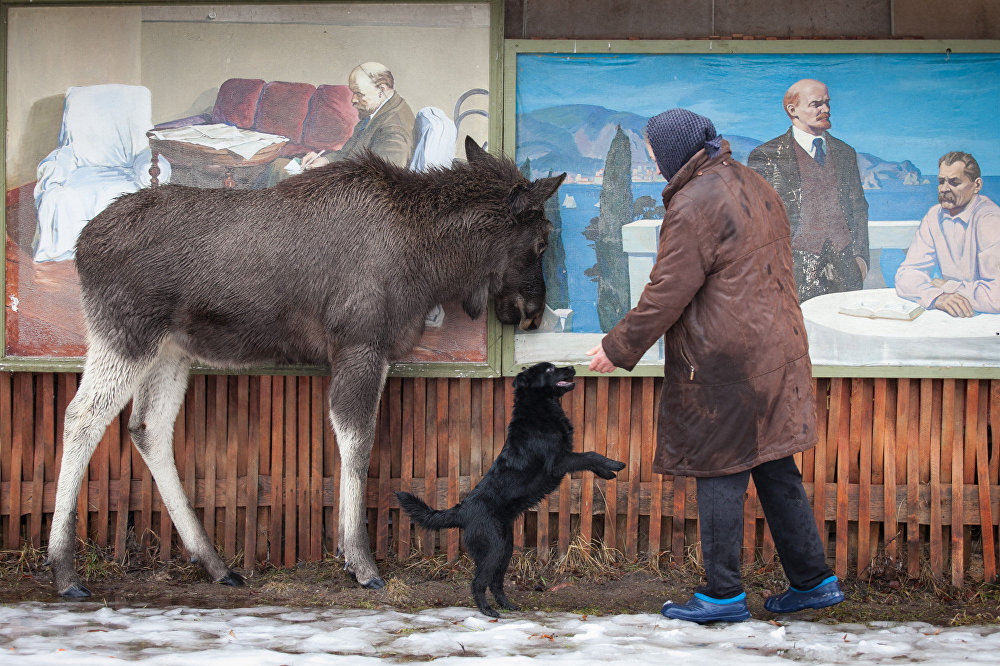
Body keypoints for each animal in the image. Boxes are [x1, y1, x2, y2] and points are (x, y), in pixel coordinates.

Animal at [47, 137, 568, 592]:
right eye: (542, 241)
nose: (532, 311)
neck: (430, 261)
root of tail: (81, 245)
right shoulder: (360, 343)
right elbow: (357, 442)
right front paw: (360, 562)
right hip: (125, 332)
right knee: (82, 416)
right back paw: (64, 570)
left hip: (172, 349)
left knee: (147, 427)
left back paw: (215, 563)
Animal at [396, 360, 624, 616]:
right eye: (549, 370)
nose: (573, 367)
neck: (538, 409)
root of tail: (462, 510)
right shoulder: (559, 461)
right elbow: (590, 454)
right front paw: (614, 465)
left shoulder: (565, 457)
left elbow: (589, 459)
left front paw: (607, 473)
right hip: (494, 549)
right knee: (478, 582)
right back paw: (487, 611)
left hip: (505, 548)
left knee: (496, 582)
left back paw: (507, 605)